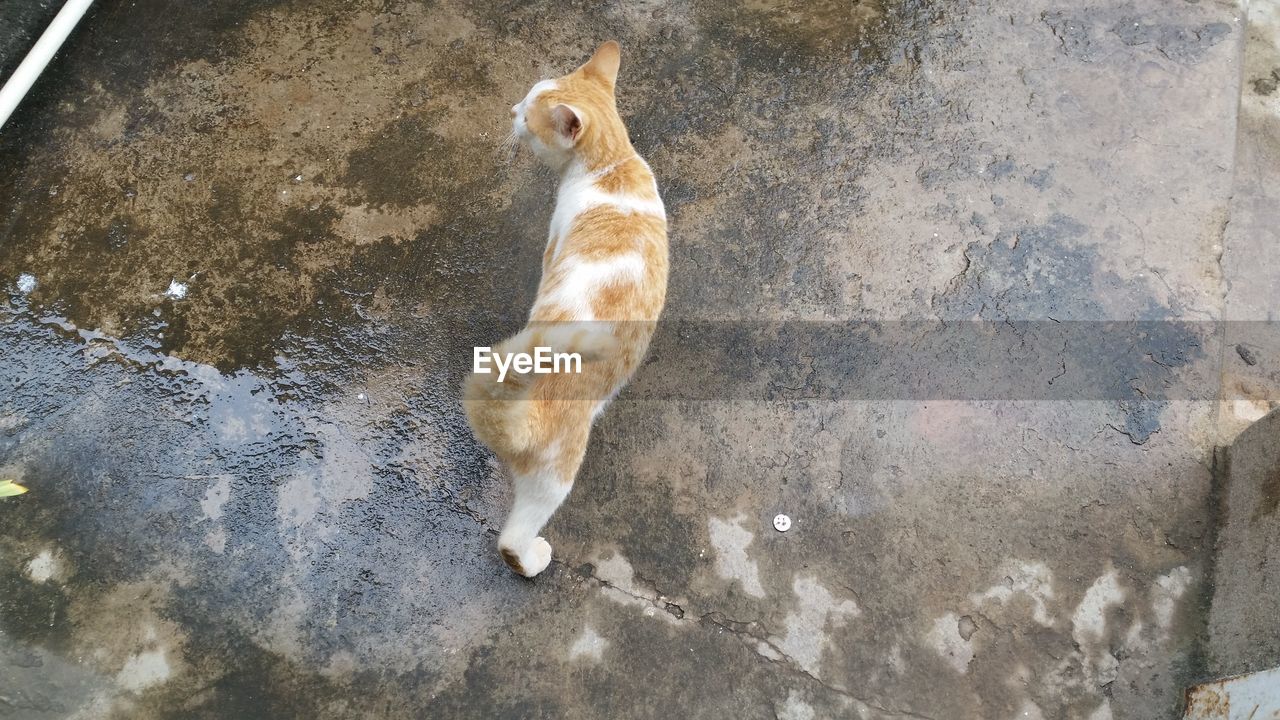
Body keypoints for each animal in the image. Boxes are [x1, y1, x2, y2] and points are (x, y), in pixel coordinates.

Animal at [468, 41, 670, 573]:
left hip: (552, 477)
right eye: (523, 99)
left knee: (511, 541)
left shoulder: (554, 240)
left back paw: (529, 558)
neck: (612, 167)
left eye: (527, 114)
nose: (511, 110)